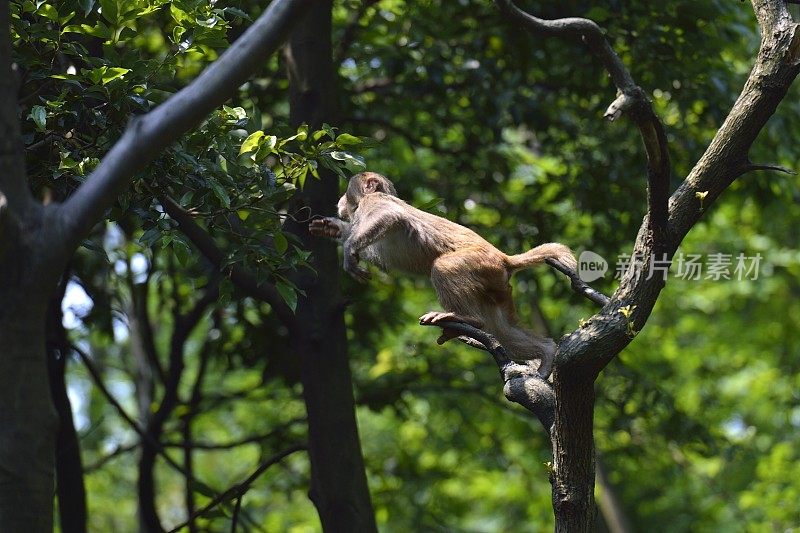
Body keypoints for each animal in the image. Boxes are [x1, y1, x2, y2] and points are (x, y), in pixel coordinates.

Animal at [310, 171, 580, 378]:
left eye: (347, 191)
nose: (339, 200)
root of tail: (504, 258)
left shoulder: (374, 202)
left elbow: (388, 217)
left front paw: (348, 250)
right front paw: (333, 228)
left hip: (479, 263)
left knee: (443, 267)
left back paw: (468, 319)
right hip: (496, 285)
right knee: (503, 331)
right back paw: (547, 352)